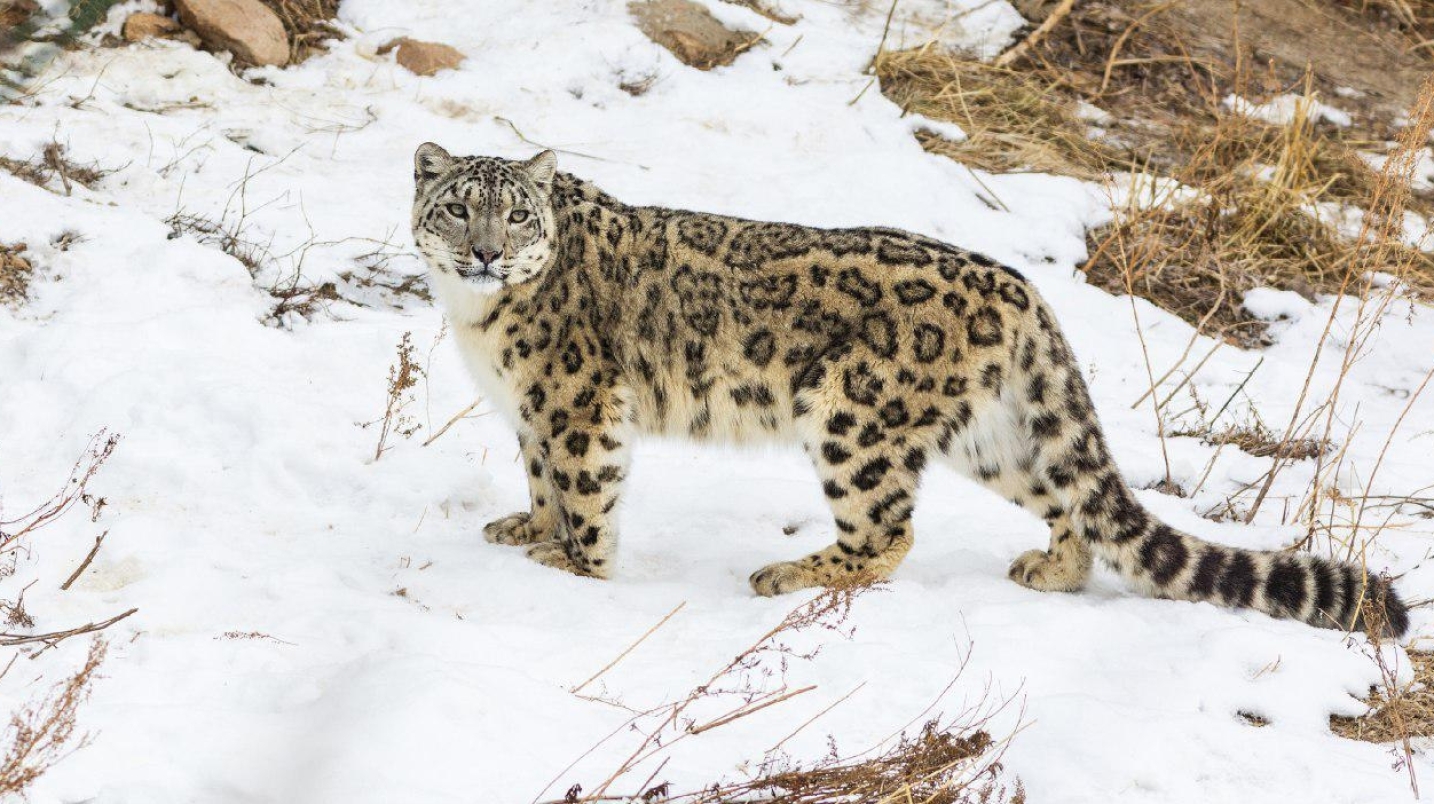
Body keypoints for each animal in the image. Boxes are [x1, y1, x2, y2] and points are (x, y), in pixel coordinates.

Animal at [410, 142, 1405, 633]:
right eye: (457, 206)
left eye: (516, 213)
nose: (485, 252)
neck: (476, 319)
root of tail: (1021, 286)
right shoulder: (532, 412)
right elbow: (543, 480)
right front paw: (524, 529)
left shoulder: (577, 404)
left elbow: (585, 492)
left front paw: (571, 571)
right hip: (992, 436)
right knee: (1065, 498)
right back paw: (1049, 570)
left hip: (856, 414)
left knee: (888, 531)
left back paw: (788, 573)